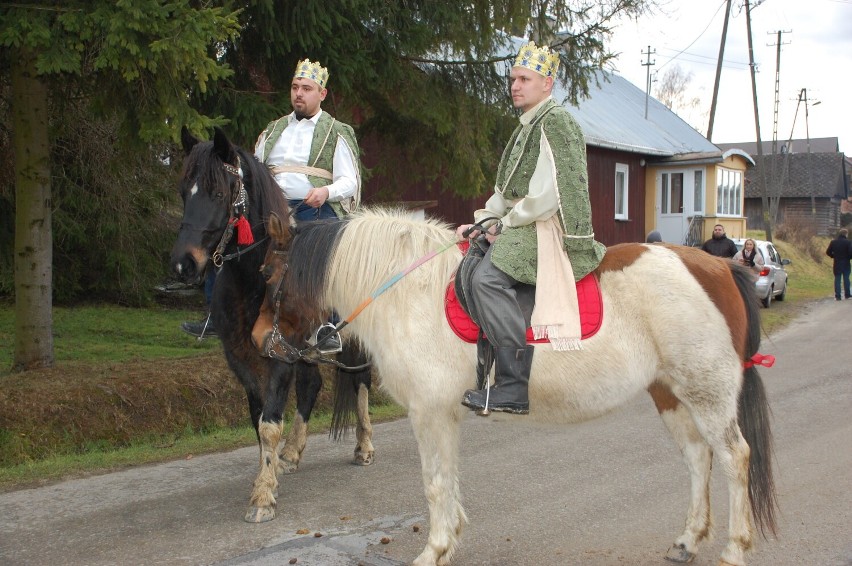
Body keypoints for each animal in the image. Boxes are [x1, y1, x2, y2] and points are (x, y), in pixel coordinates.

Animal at [170, 127, 372, 524]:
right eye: (184, 191)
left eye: (219, 193)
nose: (185, 264)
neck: (255, 280)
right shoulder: (243, 359)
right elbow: (259, 419)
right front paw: (270, 472)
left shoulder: (278, 352)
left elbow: (269, 422)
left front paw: (262, 496)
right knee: (311, 385)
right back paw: (291, 453)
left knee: (361, 382)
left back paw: (364, 446)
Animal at [256, 210, 776, 566]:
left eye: (266, 274)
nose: (262, 341)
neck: (409, 290)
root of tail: (718, 268)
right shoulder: (444, 412)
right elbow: (448, 478)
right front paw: (450, 540)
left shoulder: (429, 410)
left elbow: (434, 481)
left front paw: (434, 549)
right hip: (670, 391)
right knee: (698, 457)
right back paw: (687, 540)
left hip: (708, 391)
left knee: (735, 457)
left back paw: (734, 549)